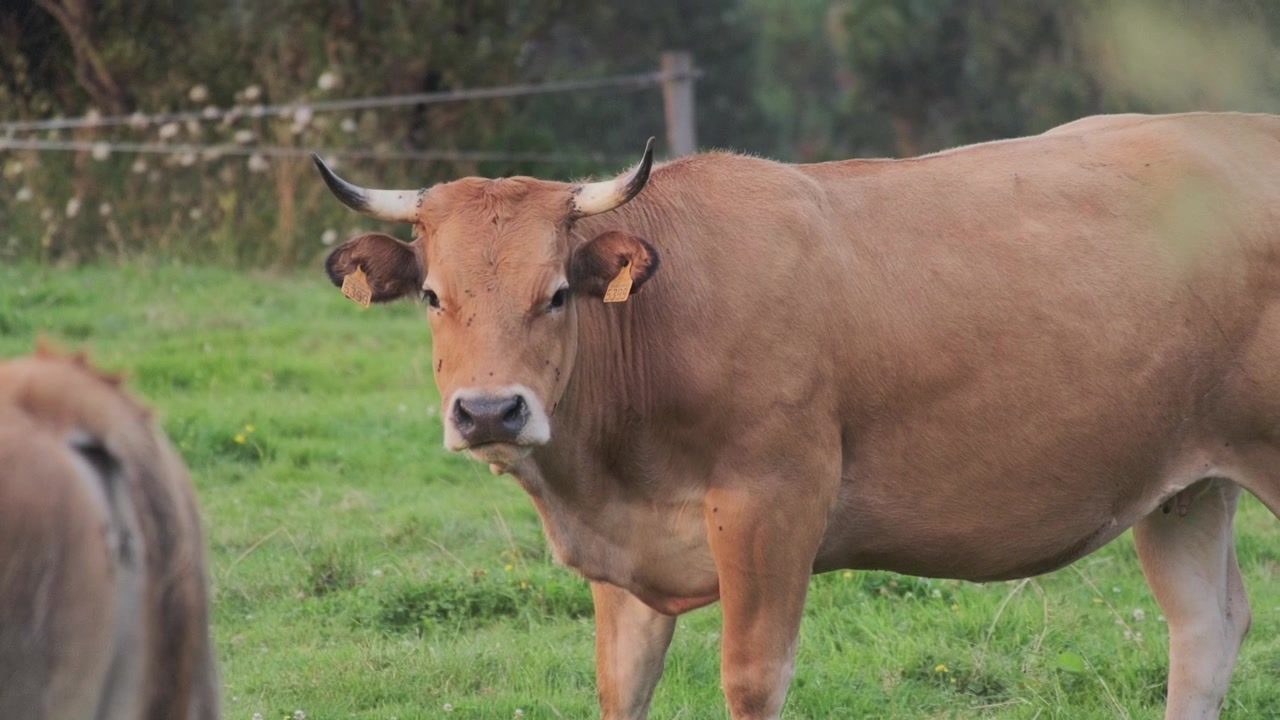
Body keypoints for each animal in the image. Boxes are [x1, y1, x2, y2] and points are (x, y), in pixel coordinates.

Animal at [312, 111, 1280, 719]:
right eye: (431, 296)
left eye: (555, 294)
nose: (489, 411)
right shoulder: (624, 557)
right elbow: (622, 688)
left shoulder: (773, 505)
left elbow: (753, 679)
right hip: (1180, 490)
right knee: (1205, 629)